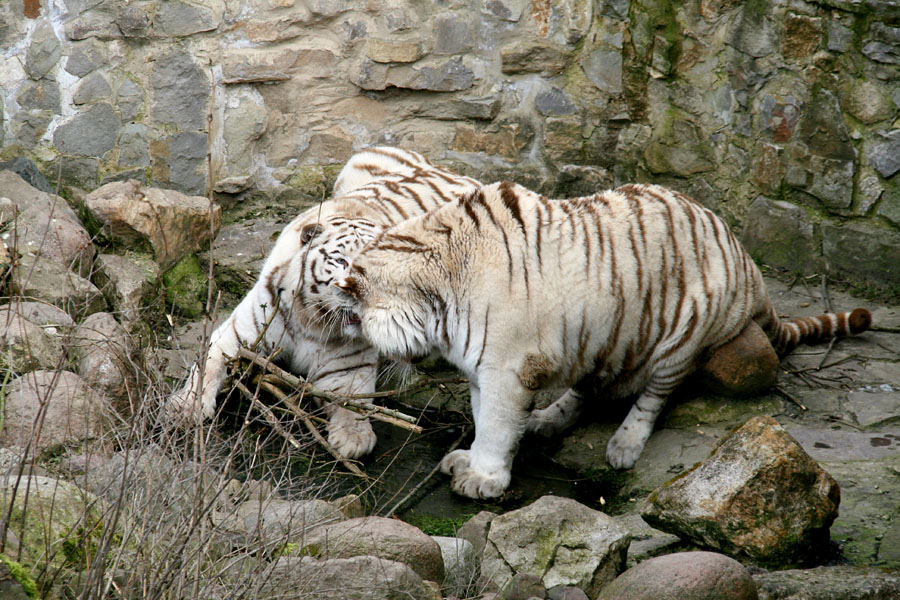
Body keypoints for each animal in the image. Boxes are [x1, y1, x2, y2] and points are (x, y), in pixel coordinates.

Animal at [165, 148, 482, 458]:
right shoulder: (237, 333)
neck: (312, 319)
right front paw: (186, 409)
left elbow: (352, 401)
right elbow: (207, 366)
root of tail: (449, 170)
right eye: (341, 261)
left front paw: (354, 438)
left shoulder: (347, 367)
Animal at [332, 182, 872, 496]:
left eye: (354, 315)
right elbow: (484, 416)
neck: (439, 289)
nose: (354, 337)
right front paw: (472, 461)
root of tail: (745, 259)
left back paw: (624, 446)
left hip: (681, 336)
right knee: (586, 390)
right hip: (602, 337)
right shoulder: (484, 368)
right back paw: (546, 420)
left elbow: (497, 425)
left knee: (654, 396)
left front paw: (483, 478)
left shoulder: (508, 368)